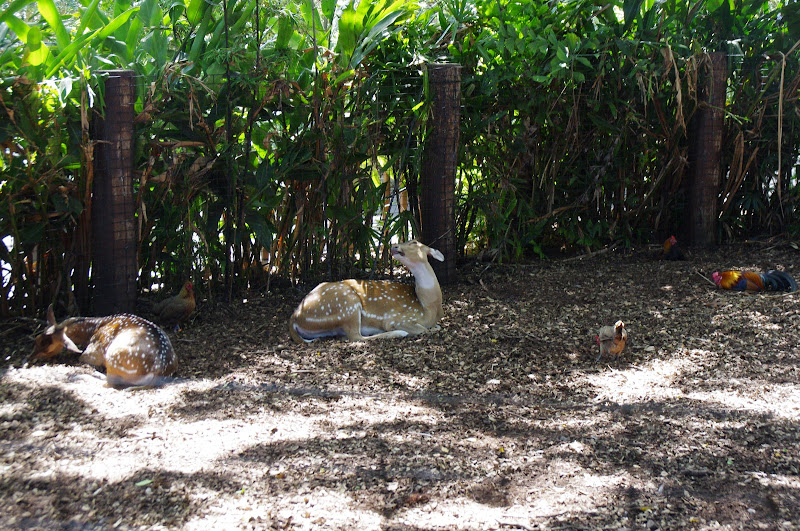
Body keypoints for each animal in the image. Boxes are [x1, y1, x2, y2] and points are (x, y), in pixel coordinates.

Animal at [31, 305, 178, 389]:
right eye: (36, 339)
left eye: (46, 346)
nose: (31, 357)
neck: (93, 329)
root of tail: (158, 369)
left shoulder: (93, 351)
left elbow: (81, 357)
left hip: (113, 356)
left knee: (109, 384)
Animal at [289, 239, 445, 343]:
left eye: (414, 242)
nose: (394, 246)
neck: (429, 307)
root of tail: (295, 317)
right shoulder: (398, 318)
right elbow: (424, 329)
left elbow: (435, 327)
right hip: (347, 305)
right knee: (355, 337)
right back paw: (399, 333)